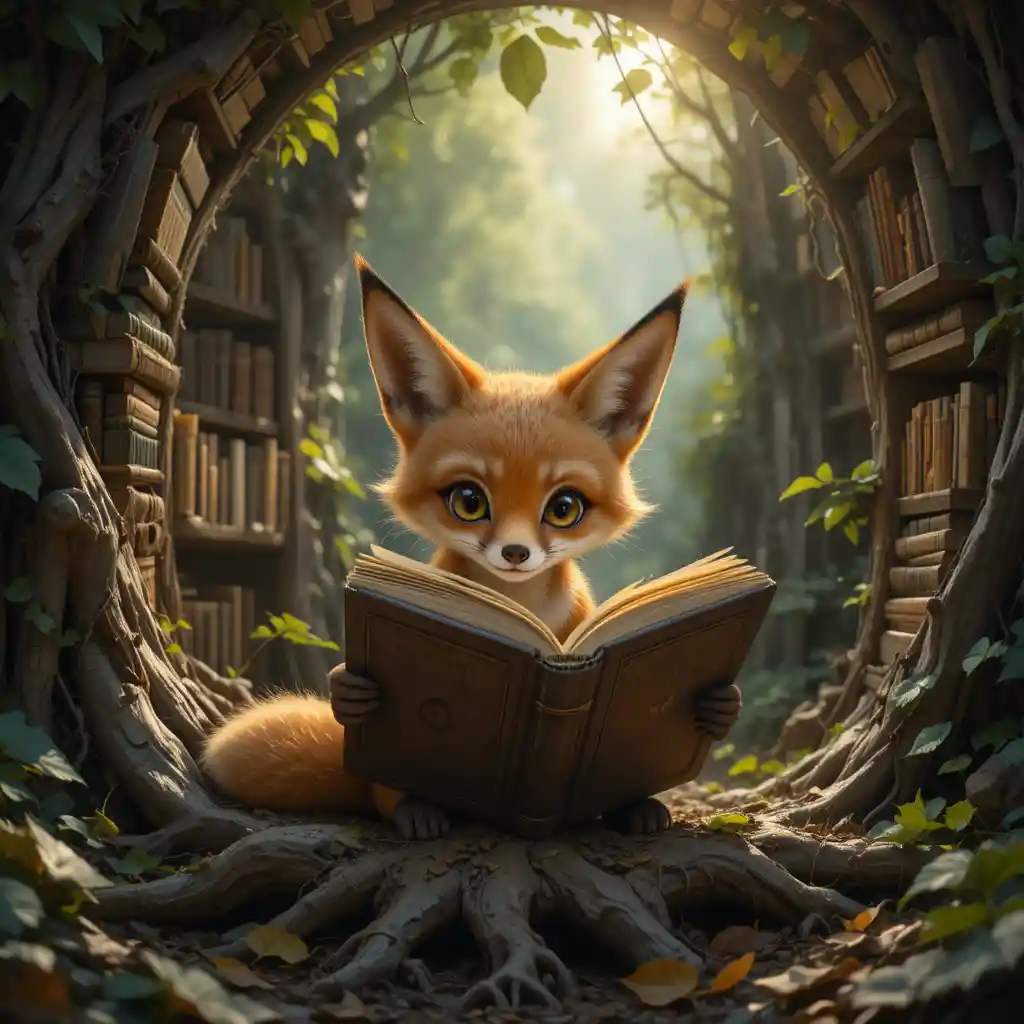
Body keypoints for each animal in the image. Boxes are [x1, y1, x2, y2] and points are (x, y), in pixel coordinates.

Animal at [200, 255, 743, 840]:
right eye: (468, 500)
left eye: (564, 508)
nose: (515, 554)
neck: (521, 605)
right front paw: (348, 688)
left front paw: (720, 706)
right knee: (383, 796)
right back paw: (417, 809)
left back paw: (636, 806)